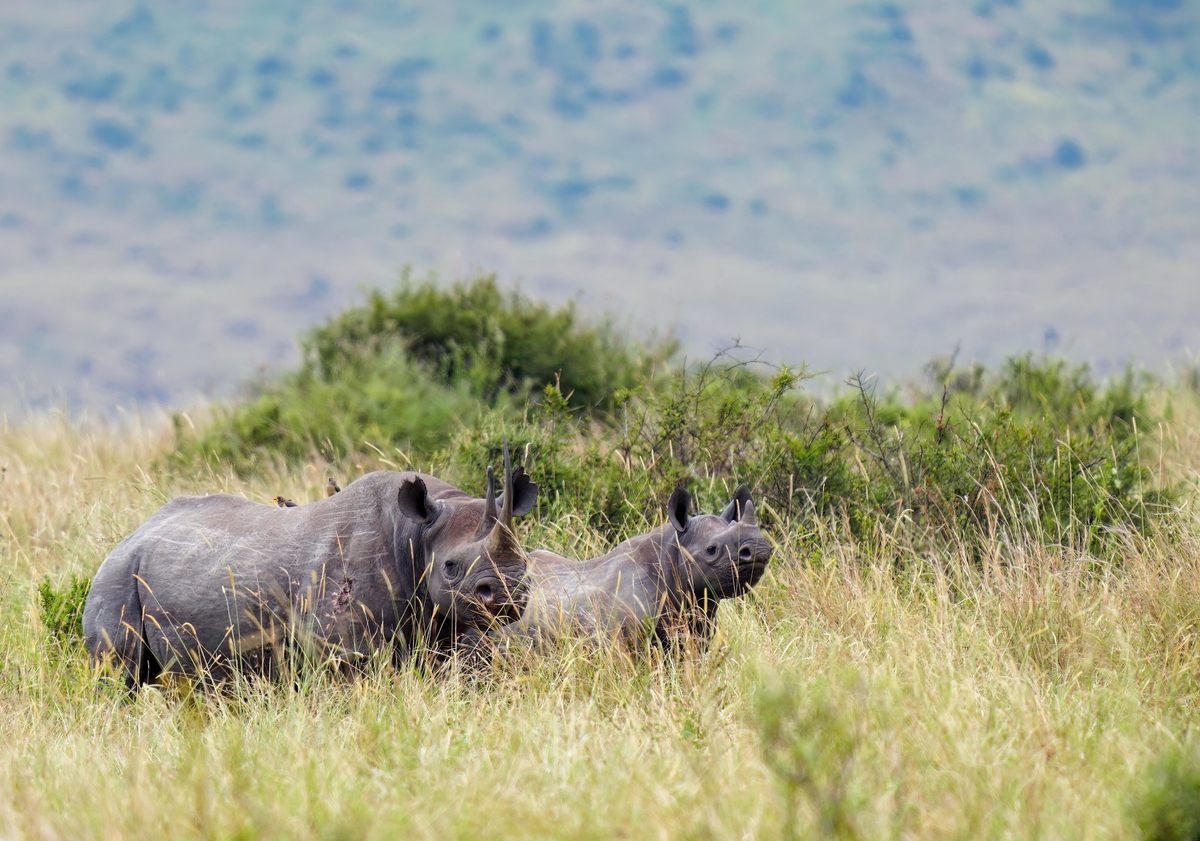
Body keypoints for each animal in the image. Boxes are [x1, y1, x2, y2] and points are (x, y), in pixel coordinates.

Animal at [84, 455, 535, 686]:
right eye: (451, 567)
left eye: (526, 563)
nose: (508, 592)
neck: (418, 532)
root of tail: (132, 534)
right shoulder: (343, 650)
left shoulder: (444, 628)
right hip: (117, 576)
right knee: (119, 676)